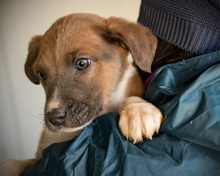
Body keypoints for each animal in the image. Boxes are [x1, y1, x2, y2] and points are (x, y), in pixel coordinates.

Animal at [0, 13, 162, 175]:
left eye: (82, 63)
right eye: (41, 74)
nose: (54, 117)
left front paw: (138, 110)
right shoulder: (38, 159)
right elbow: (12, 163)